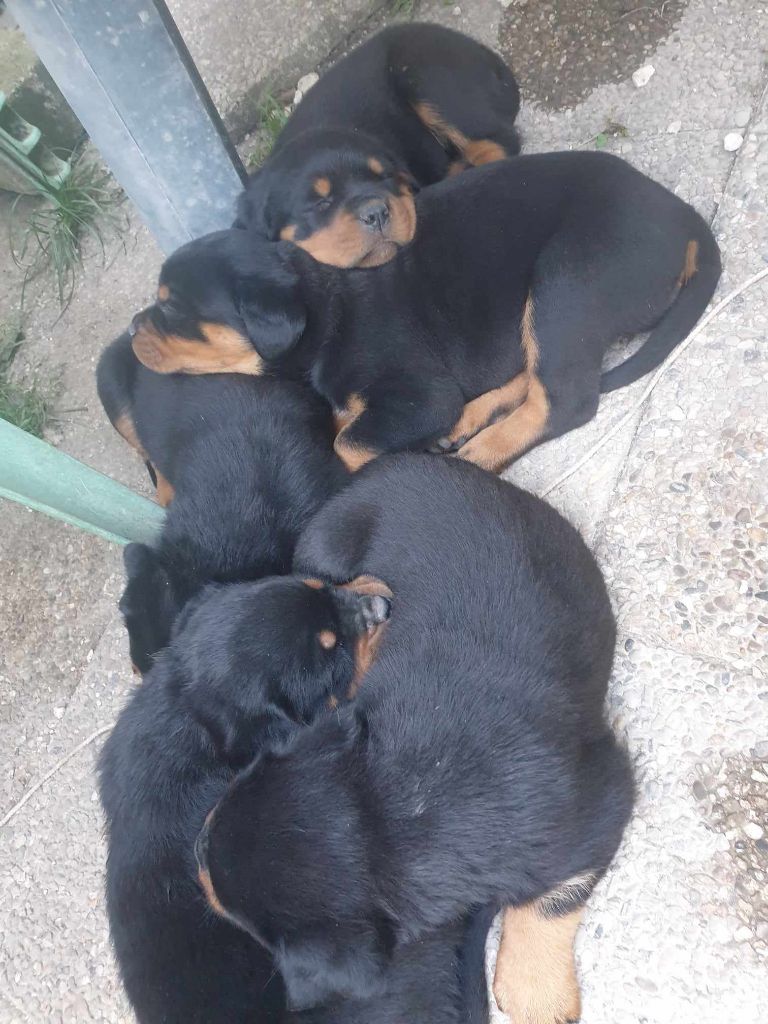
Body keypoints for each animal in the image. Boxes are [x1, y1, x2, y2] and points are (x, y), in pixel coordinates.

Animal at [131, 149, 720, 473]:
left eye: (172, 307)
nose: (134, 326)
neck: (321, 305)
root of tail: (685, 216)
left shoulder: (417, 394)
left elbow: (347, 442)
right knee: (537, 374)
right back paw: (469, 421)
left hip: (566, 278)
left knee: (565, 398)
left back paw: (479, 454)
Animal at [237, 23, 520, 268]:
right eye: (320, 203)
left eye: (385, 178)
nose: (375, 213)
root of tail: (479, 49)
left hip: (426, 79)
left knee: (497, 143)